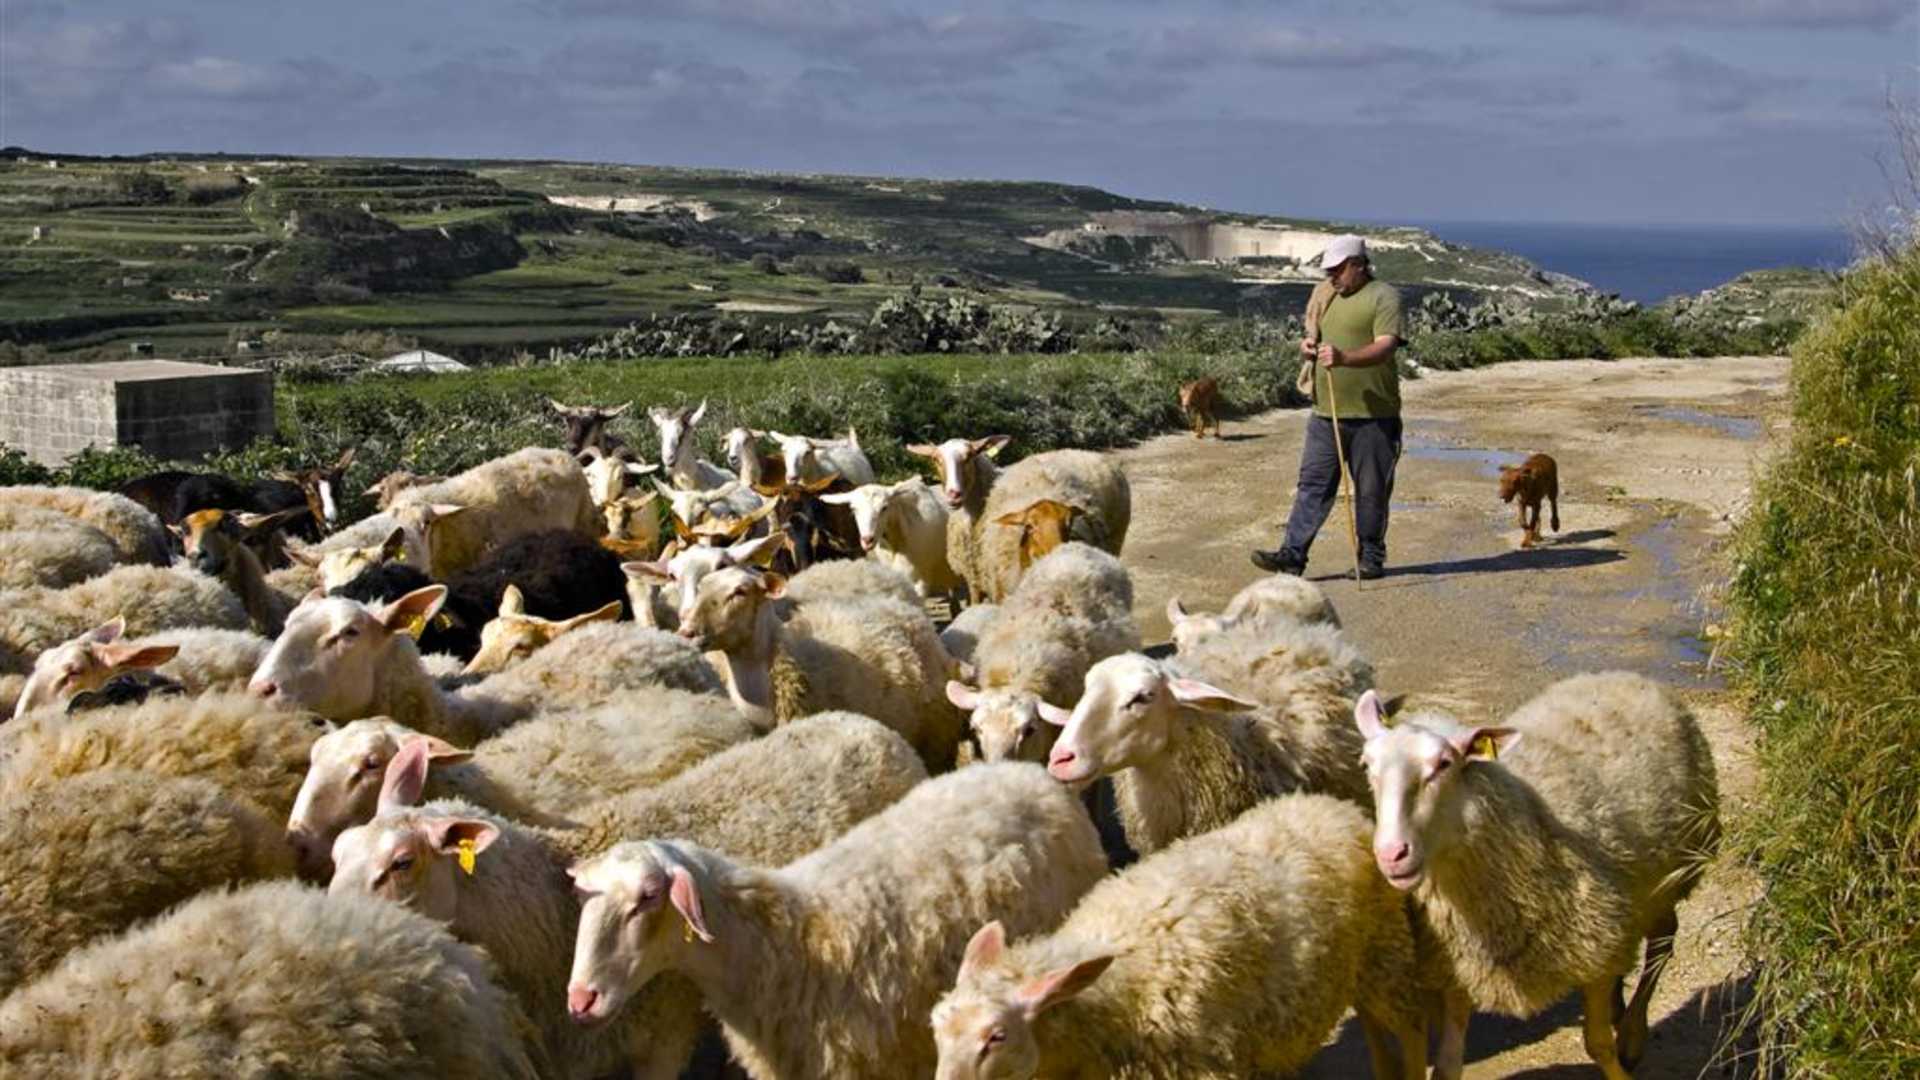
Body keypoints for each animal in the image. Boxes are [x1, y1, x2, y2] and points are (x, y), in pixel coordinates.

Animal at [333, 712, 926, 1080]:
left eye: (401, 864)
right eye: (338, 854)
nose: (344, 932)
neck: (547, 915)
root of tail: (861, 724)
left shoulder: (663, 1039)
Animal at [931, 793, 1430, 1080]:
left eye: (996, 1036)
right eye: (935, 1028)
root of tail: (1330, 804)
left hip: (1387, 951)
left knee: (1409, 1027)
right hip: (1360, 963)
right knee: (1372, 1020)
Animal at [1353, 672, 1720, 1080]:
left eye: (1444, 764)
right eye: (1366, 765)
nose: (1391, 854)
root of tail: (1621, 676)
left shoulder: (1591, 945)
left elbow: (1598, 1044)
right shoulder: (1460, 968)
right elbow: (1448, 1067)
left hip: (1672, 874)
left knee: (1663, 940)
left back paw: (1632, 1035)